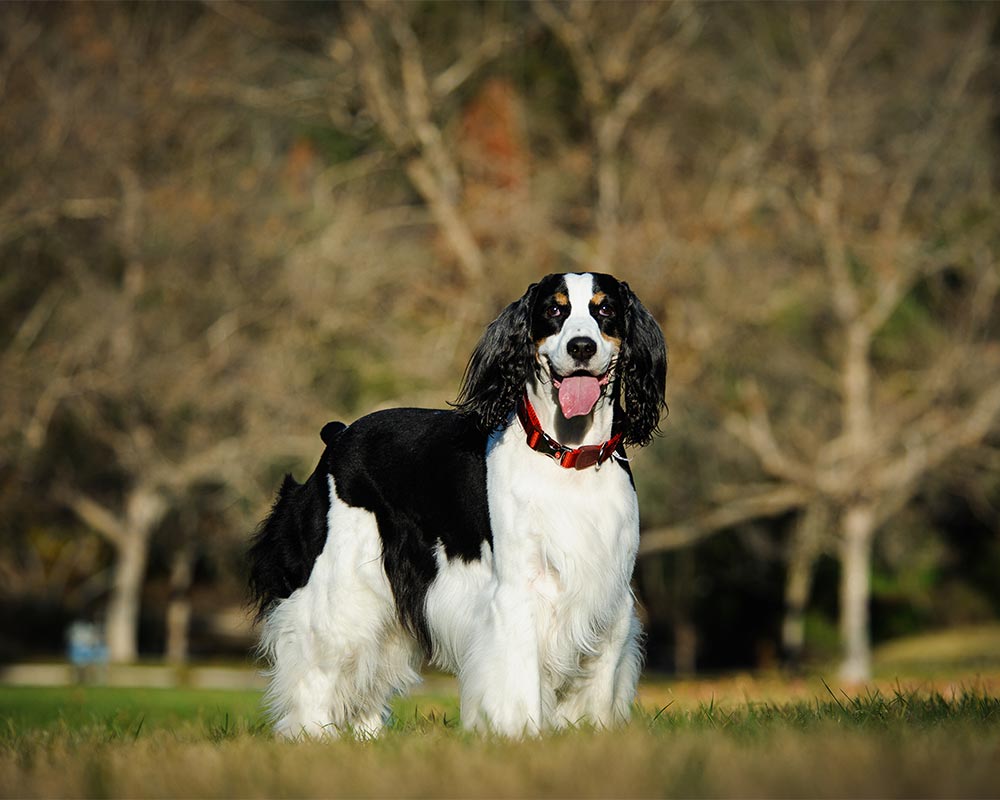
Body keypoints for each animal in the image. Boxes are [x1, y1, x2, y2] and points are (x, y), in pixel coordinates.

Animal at [247, 272, 668, 736]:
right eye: (554, 310)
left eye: (606, 308)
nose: (581, 347)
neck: (569, 455)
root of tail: (338, 436)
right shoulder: (517, 591)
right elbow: (518, 675)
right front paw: (520, 734)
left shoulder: (609, 596)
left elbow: (600, 685)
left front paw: (592, 733)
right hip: (340, 581)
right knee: (319, 658)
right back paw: (312, 734)